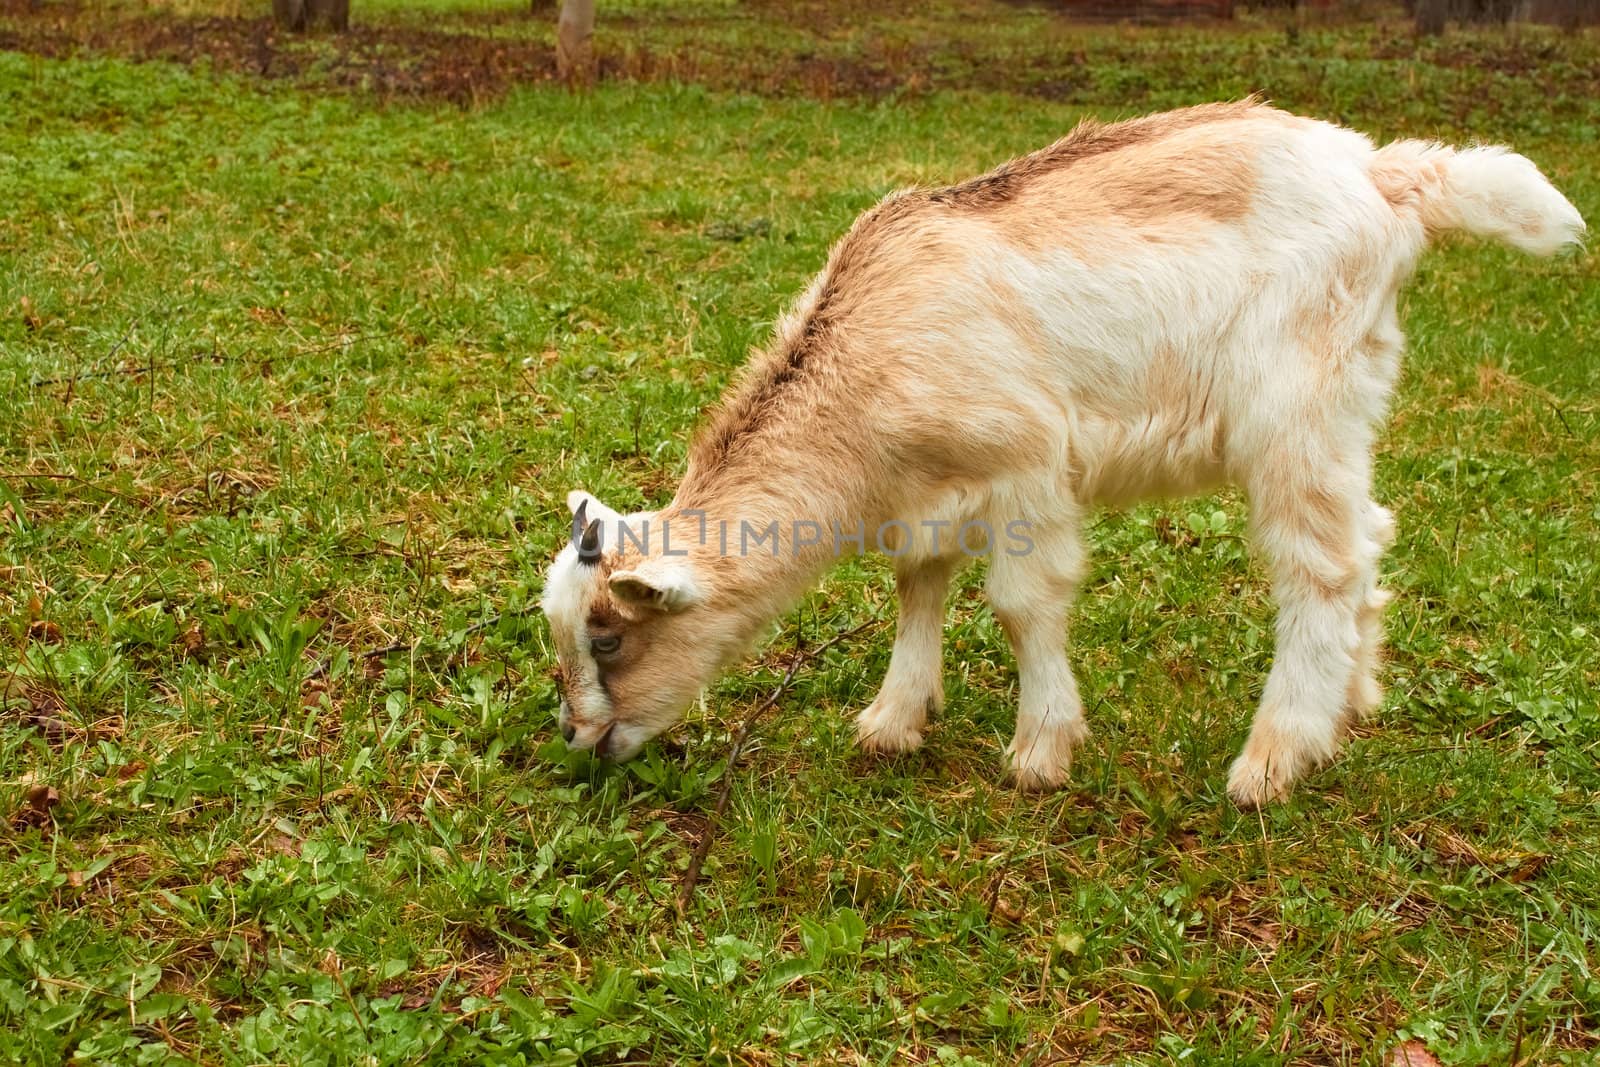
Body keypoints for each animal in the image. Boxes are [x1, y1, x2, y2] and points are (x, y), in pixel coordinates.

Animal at [544, 102, 1580, 809]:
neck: (864, 360)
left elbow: (1022, 602)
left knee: (1317, 567)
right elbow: (919, 585)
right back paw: (1350, 706)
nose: (579, 739)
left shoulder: (1027, 465)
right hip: (1347, 401)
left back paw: (1272, 759)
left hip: (1294, 406)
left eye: (610, 636)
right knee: (1367, 537)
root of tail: (1385, 176)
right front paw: (893, 721)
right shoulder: (928, 490)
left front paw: (1041, 751)